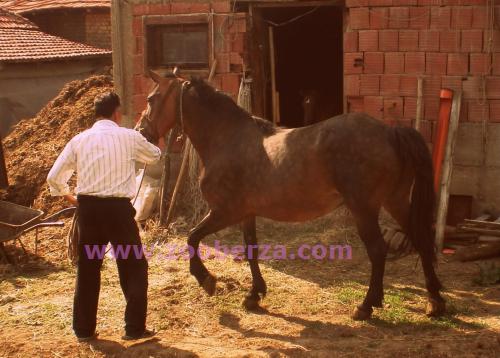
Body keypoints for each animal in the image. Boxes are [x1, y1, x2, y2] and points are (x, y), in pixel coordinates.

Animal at [137, 69, 446, 318]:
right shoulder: (246, 213)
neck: (228, 138)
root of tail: (390, 132)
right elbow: (251, 249)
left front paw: (207, 280)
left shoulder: (225, 212)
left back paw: (366, 306)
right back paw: (435, 301)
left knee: (379, 250)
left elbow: (192, 238)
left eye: (152, 99)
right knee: (420, 239)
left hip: (365, 208)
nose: (142, 131)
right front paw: (254, 294)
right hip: (396, 201)